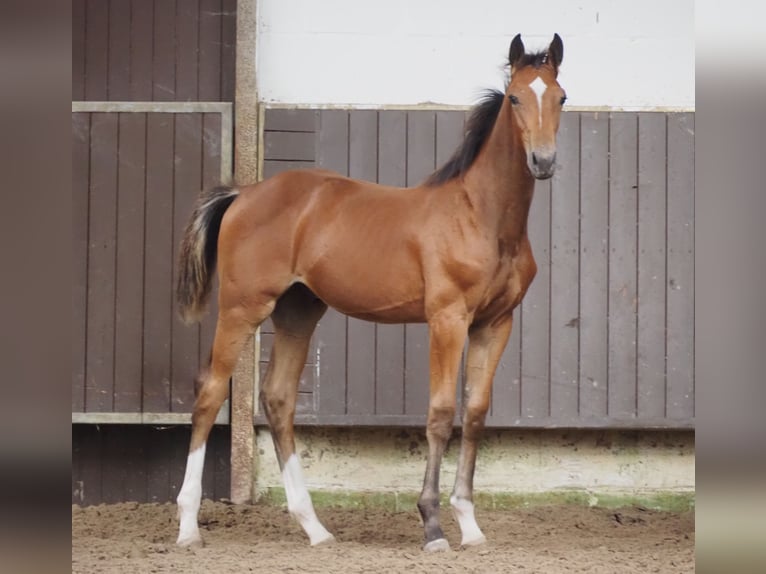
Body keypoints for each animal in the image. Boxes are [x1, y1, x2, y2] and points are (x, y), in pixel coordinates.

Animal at [175, 33, 566, 552]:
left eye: (561, 97)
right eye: (517, 98)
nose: (543, 161)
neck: (482, 217)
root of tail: (243, 193)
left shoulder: (494, 323)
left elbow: (476, 413)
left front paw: (470, 525)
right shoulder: (448, 319)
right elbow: (441, 412)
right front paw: (433, 526)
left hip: (298, 312)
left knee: (278, 399)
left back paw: (315, 529)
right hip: (243, 307)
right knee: (210, 392)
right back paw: (188, 528)